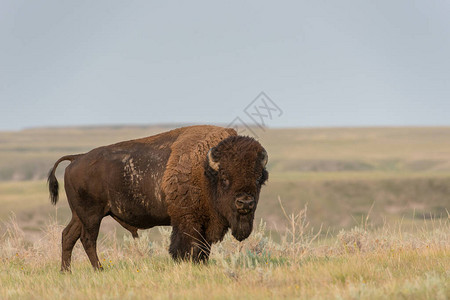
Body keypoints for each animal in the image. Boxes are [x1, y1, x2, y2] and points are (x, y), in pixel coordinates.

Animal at [48, 125, 268, 270]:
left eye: (259, 179)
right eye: (225, 178)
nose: (245, 203)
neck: (205, 171)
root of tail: (77, 159)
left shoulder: (204, 223)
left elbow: (204, 249)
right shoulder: (188, 221)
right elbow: (189, 247)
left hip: (79, 215)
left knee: (68, 236)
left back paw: (66, 271)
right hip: (91, 215)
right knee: (88, 239)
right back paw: (99, 269)